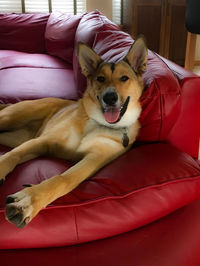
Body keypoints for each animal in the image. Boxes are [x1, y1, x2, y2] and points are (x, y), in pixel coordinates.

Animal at [0, 36, 147, 228]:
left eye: (124, 78)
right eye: (100, 78)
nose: (109, 97)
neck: (97, 123)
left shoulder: (93, 160)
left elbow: (64, 180)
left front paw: (28, 203)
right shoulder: (41, 142)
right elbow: (11, 155)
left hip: (13, 136)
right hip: (11, 117)